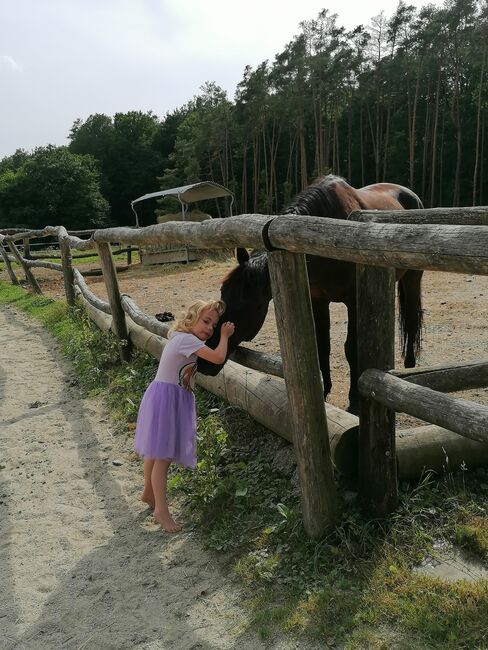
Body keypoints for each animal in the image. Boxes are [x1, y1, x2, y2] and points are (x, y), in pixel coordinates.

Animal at [197, 175, 424, 412]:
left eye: (247, 305)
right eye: (223, 294)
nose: (204, 362)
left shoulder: (353, 302)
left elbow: (351, 349)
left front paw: (354, 403)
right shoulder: (318, 301)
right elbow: (321, 346)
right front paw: (323, 393)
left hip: (412, 279)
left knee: (411, 320)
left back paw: (409, 368)